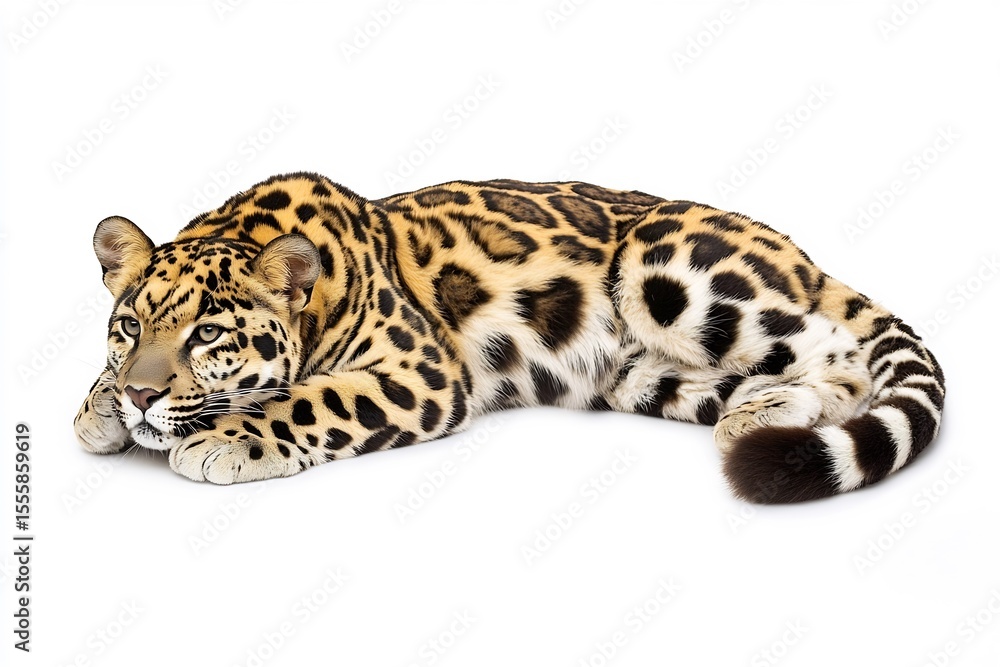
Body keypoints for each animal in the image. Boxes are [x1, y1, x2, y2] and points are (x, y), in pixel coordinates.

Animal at [74, 172, 945, 503]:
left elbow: (310, 401)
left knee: (841, 351)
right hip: (641, 374)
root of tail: (802, 255)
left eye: (208, 334)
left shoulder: (419, 369)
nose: (143, 394)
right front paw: (100, 407)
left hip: (671, 271)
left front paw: (222, 437)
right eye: (129, 326)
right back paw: (757, 412)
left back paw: (770, 415)